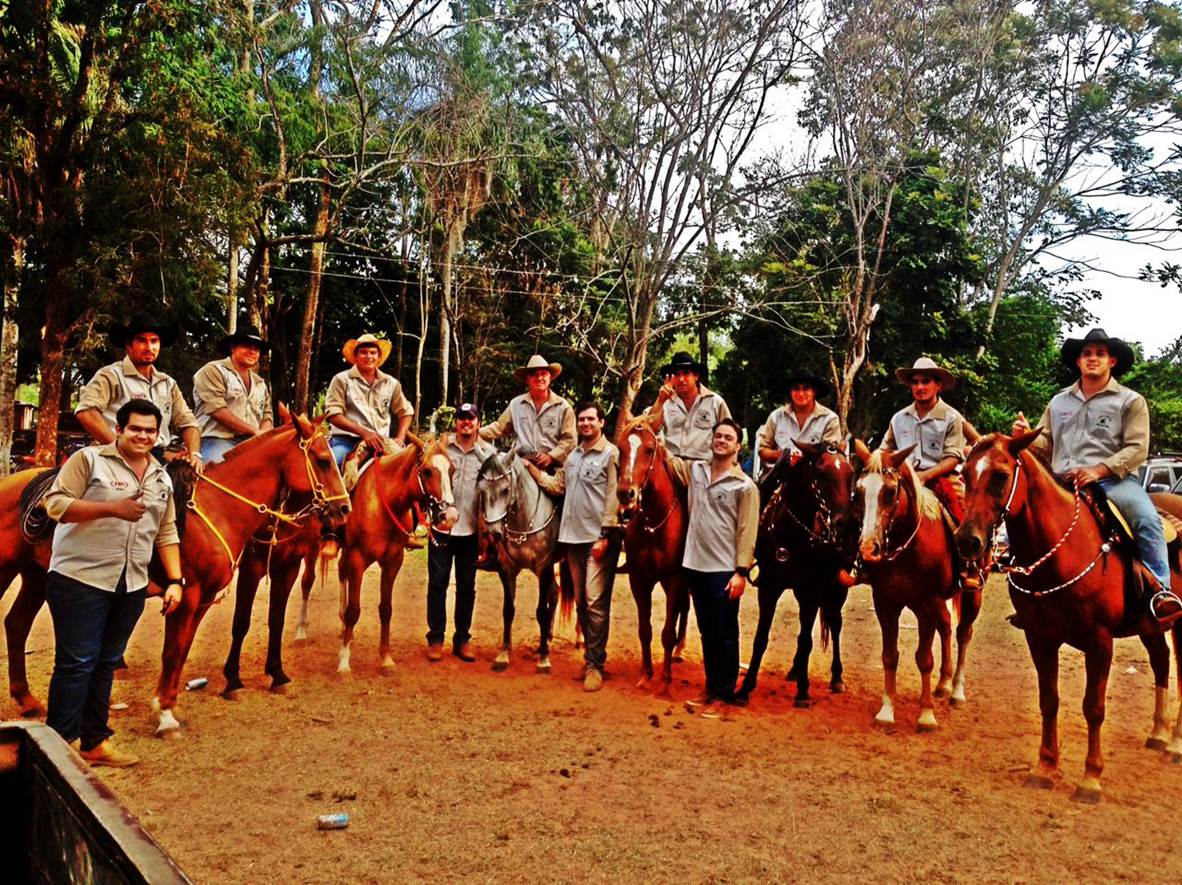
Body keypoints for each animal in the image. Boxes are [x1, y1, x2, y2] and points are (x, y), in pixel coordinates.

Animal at [338, 439, 456, 671]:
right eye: (427, 471)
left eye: (452, 470)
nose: (451, 516)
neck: (384, 503)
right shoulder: (358, 558)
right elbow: (353, 610)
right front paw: (344, 661)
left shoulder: (393, 561)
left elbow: (386, 609)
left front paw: (386, 658)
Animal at [614, 418, 690, 694]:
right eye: (621, 448)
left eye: (648, 449)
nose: (626, 494)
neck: (655, 523)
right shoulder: (639, 579)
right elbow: (645, 629)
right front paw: (647, 673)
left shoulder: (675, 579)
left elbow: (666, 632)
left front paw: (665, 679)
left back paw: (679, 649)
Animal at [732, 439, 855, 704]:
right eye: (820, 473)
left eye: (850, 474)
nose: (845, 524)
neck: (793, 533)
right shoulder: (769, 587)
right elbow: (761, 638)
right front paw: (745, 688)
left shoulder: (811, 590)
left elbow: (806, 639)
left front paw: (803, 691)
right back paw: (795, 669)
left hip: (836, 589)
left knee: (835, 624)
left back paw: (836, 677)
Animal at [855, 441, 983, 732]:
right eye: (858, 491)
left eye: (891, 491)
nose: (869, 549)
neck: (908, 547)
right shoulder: (886, 603)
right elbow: (889, 656)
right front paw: (887, 710)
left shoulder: (927, 604)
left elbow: (924, 659)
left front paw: (926, 715)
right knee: (946, 627)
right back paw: (943, 683)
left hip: (972, 594)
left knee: (964, 633)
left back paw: (956, 690)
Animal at [955, 430, 1182, 798]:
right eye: (964, 474)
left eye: (1001, 476)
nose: (967, 541)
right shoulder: (1039, 637)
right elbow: (1049, 699)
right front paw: (1045, 766)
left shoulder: (1100, 642)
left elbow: (1094, 707)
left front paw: (1091, 777)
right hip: (1150, 625)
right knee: (1161, 661)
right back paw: (1159, 734)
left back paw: (1174, 745)